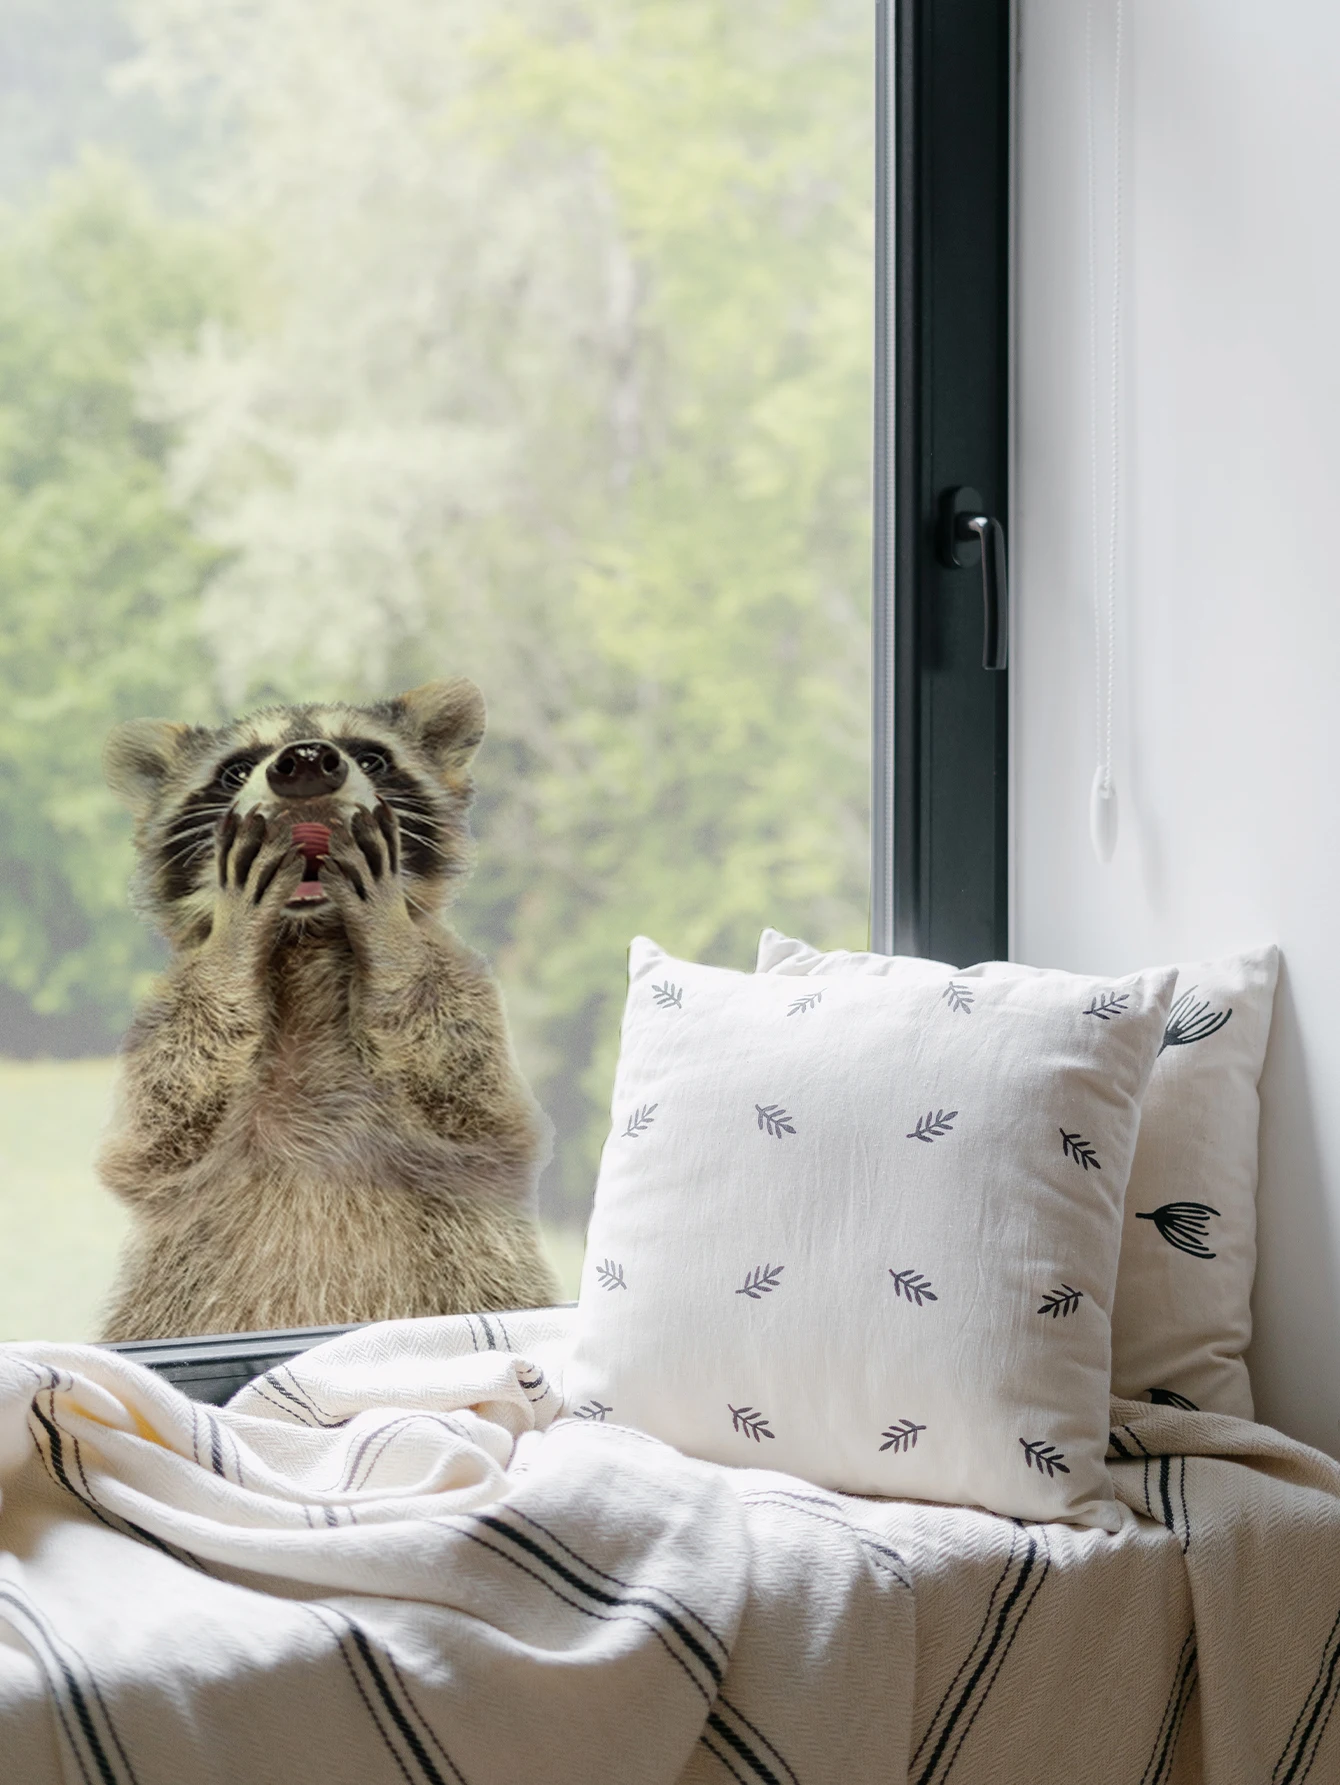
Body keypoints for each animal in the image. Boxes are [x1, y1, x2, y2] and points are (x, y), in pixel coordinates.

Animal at [96, 678, 559, 1340]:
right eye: (235, 769)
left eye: (370, 756)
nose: (309, 761)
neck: (309, 941)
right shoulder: (160, 1022)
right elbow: (162, 1135)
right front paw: (235, 936)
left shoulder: (472, 998)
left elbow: (473, 1104)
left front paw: (388, 930)